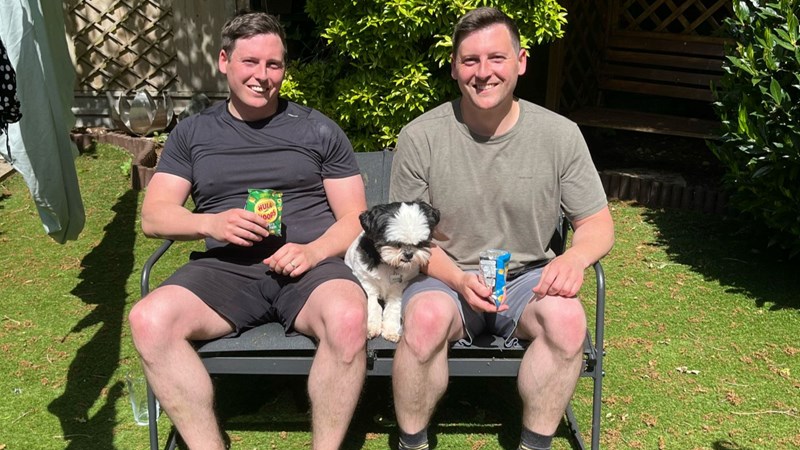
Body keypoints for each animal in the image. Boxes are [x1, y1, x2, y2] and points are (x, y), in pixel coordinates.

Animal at [345, 201, 440, 342]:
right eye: (395, 244)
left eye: (420, 243)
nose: (408, 254)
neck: (389, 264)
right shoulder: (366, 281)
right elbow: (373, 305)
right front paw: (371, 327)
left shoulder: (400, 287)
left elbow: (393, 307)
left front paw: (391, 330)